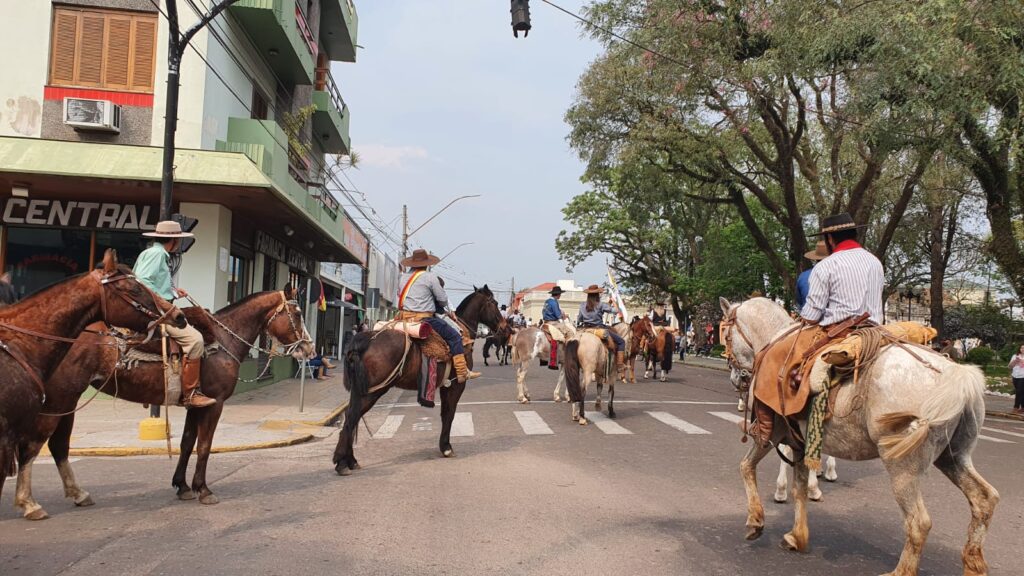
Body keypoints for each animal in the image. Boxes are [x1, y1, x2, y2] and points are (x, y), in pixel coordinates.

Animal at [9, 286, 313, 516]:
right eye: (298, 314)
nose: (309, 348)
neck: (224, 339)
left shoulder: (196, 404)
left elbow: (187, 443)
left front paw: (183, 486)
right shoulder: (215, 404)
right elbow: (204, 446)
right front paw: (203, 489)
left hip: (67, 400)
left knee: (58, 446)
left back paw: (78, 493)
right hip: (59, 400)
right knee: (33, 447)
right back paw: (29, 503)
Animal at [331, 284, 503, 473]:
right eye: (494, 303)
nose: (504, 326)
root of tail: (365, 340)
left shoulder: (445, 385)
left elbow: (445, 413)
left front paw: (444, 446)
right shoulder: (457, 384)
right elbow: (450, 414)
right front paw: (446, 447)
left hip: (359, 390)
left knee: (350, 416)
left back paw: (349, 460)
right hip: (372, 391)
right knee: (352, 418)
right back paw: (342, 463)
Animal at [720, 295, 999, 573]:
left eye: (725, 335)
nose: (736, 379)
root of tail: (956, 375)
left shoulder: (773, 433)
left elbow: (746, 466)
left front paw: (756, 521)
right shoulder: (799, 441)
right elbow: (799, 487)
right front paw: (797, 535)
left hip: (902, 466)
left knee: (918, 522)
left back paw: (901, 571)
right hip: (953, 457)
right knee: (983, 499)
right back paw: (974, 564)